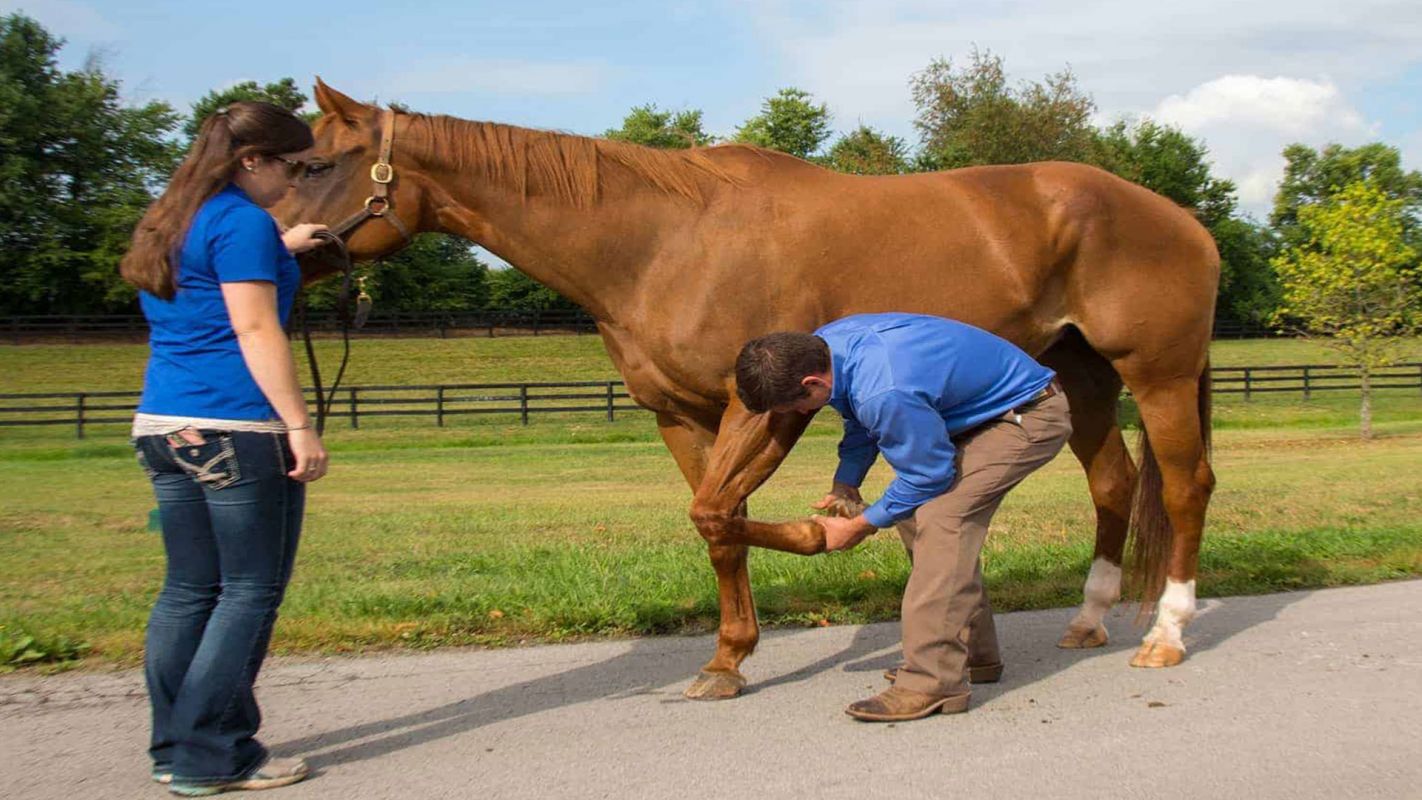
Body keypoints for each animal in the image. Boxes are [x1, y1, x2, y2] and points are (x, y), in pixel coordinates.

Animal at [275, 79, 1218, 701]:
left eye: (314, 163)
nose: (267, 249)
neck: (662, 241)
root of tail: (1181, 216)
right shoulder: (680, 417)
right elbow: (717, 529)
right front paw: (728, 659)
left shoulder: (764, 409)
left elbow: (722, 515)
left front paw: (802, 556)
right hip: (1082, 378)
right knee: (1115, 485)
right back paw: (1091, 620)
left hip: (1158, 376)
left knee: (1185, 487)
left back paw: (1167, 634)